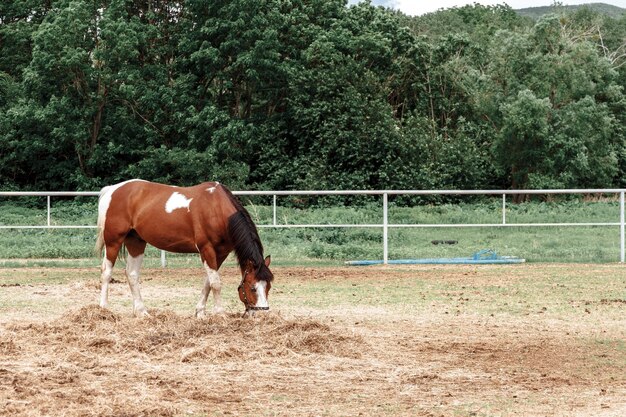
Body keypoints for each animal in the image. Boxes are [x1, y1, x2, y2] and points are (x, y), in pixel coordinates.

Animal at [94, 179, 272, 316]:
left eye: (268, 287)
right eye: (252, 288)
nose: (263, 314)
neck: (216, 209)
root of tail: (112, 190)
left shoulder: (220, 253)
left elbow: (208, 282)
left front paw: (200, 312)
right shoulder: (206, 249)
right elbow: (215, 283)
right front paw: (220, 314)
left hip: (136, 242)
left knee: (132, 274)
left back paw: (142, 312)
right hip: (113, 241)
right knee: (106, 272)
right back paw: (104, 308)